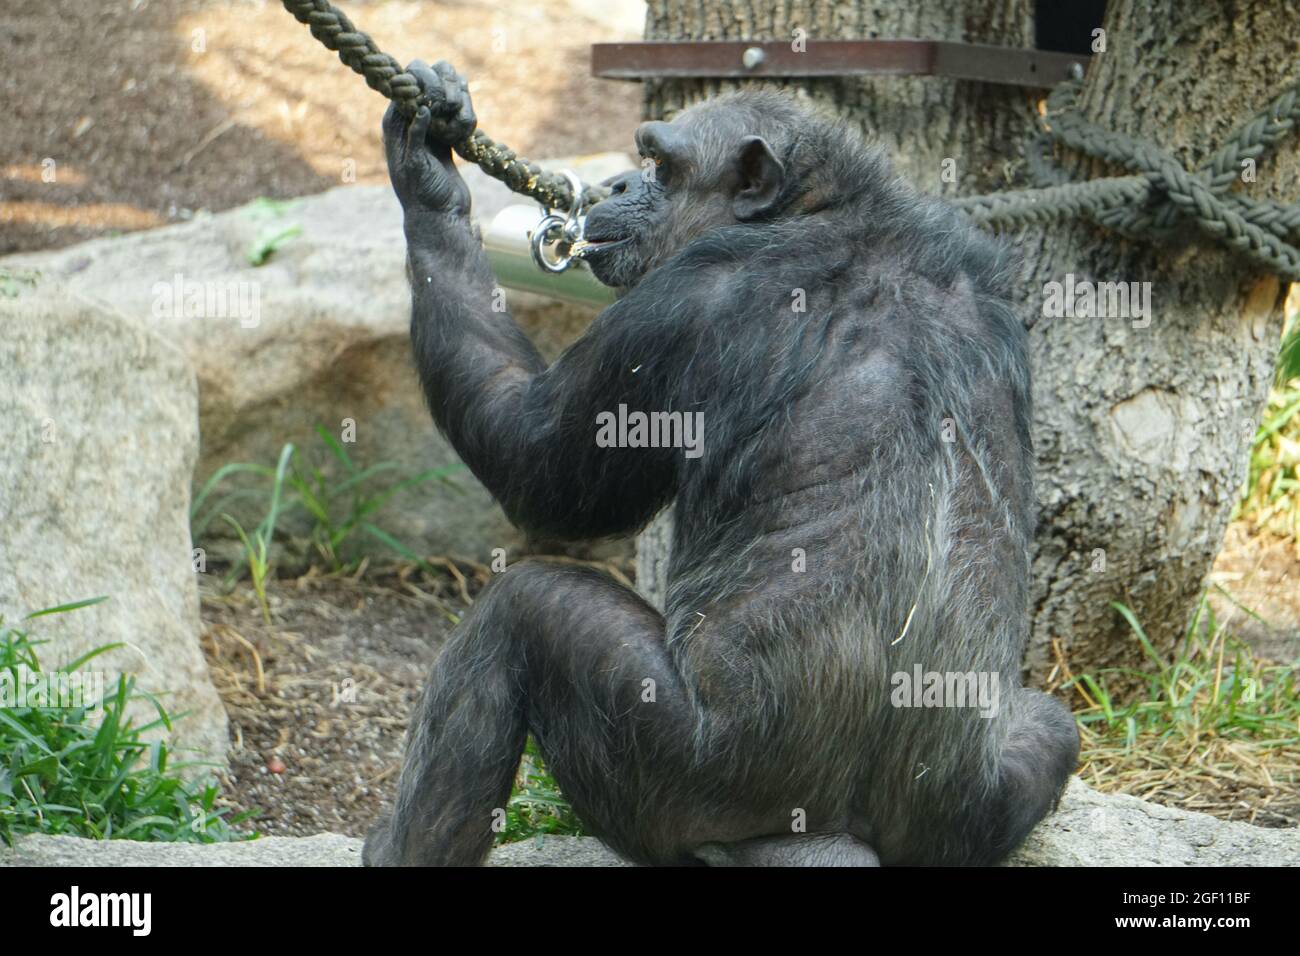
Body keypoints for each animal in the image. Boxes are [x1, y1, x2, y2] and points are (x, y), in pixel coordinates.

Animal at [363, 59, 1079, 866]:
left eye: (661, 165)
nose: (616, 184)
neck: (830, 211)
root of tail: (838, 836)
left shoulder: (681, 299)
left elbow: (535, 465)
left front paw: (428, 172)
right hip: (969, 807)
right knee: (1052, 728)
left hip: (679, 772)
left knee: (526, 607)